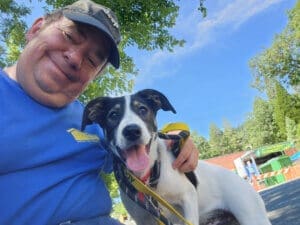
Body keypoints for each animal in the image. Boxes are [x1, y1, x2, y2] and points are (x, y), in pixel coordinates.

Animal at [81, 89, 272, 224]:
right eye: (113, 115)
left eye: (143, 109)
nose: (132, 131)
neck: (149, 179)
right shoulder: (144, 220)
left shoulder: (187, 197)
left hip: (252, 217)